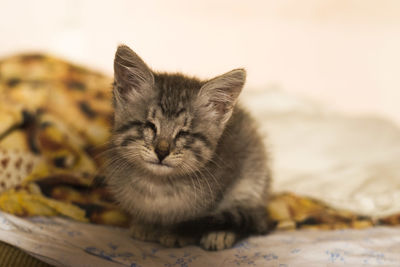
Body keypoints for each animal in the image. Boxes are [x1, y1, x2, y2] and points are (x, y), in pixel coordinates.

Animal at [104, 44, 272, 251]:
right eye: (150, 126)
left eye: (184, 133)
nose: (161, 152)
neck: (158, 186)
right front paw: (146, 224)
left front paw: (179, 233)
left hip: (256, 170)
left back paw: (220, 233)